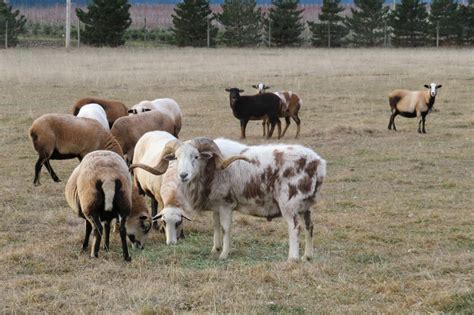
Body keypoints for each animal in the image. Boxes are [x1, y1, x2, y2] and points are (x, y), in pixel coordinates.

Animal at [131, 138, 328, 262]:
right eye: (177, 157)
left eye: (196, 156)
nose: (183, 175)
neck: (211, 168)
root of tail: (318, 163)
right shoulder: (217, 206)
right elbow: (216, 227)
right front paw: (215, 249)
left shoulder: (226, 204)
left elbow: (226, 228)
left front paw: (224, 254)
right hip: (305, 205)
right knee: (309, 227)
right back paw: (307, 257)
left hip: (290, 203)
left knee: (294, 228)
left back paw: (293, 258)